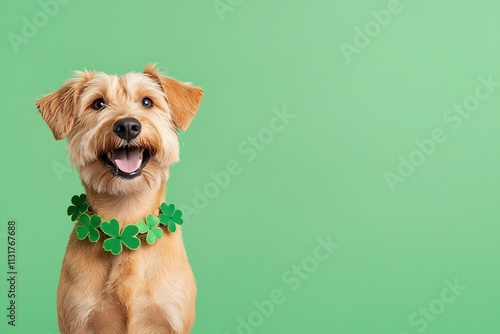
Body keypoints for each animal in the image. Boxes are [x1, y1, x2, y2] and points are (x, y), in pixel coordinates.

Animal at [35, 64, 203, 332]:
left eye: (147, 101)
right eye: (98, 103)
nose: (127, 126)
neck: (125, 218)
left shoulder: (171, 318)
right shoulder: (78, 319)